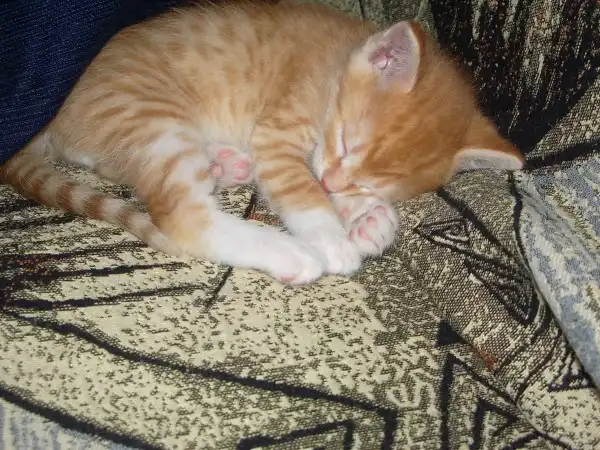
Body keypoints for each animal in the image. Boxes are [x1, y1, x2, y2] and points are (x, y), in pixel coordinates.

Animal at [0, 1, 524, 284]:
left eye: (375, 182)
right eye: (345, 141)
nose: (338, 185)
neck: (335, 65)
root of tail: (52, 119)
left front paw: (369, 217)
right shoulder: (278, 130)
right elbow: (301, 186)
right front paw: (333, 236)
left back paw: (225, 164)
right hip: (148, 115)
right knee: (183, 216)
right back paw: (288, 251)